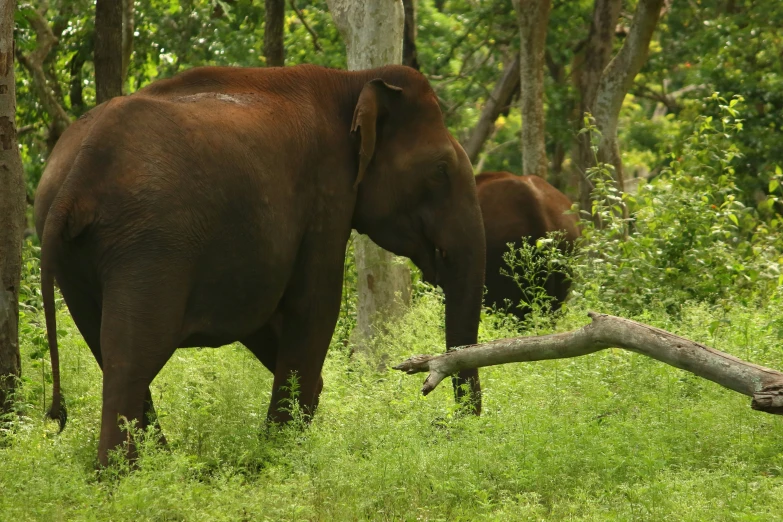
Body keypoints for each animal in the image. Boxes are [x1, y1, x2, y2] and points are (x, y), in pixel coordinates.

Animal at [38, 63, 490, 466]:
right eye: (440, 170)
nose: (446, 425)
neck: (353, 81)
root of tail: (76, 181)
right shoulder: (326, 192)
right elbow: (316, 304)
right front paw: (281, 456)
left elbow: (263, 316)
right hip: (150, 245)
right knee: (131, 356)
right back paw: (124, 478)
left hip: (79, 259)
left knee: (107, 347)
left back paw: (161, 467)